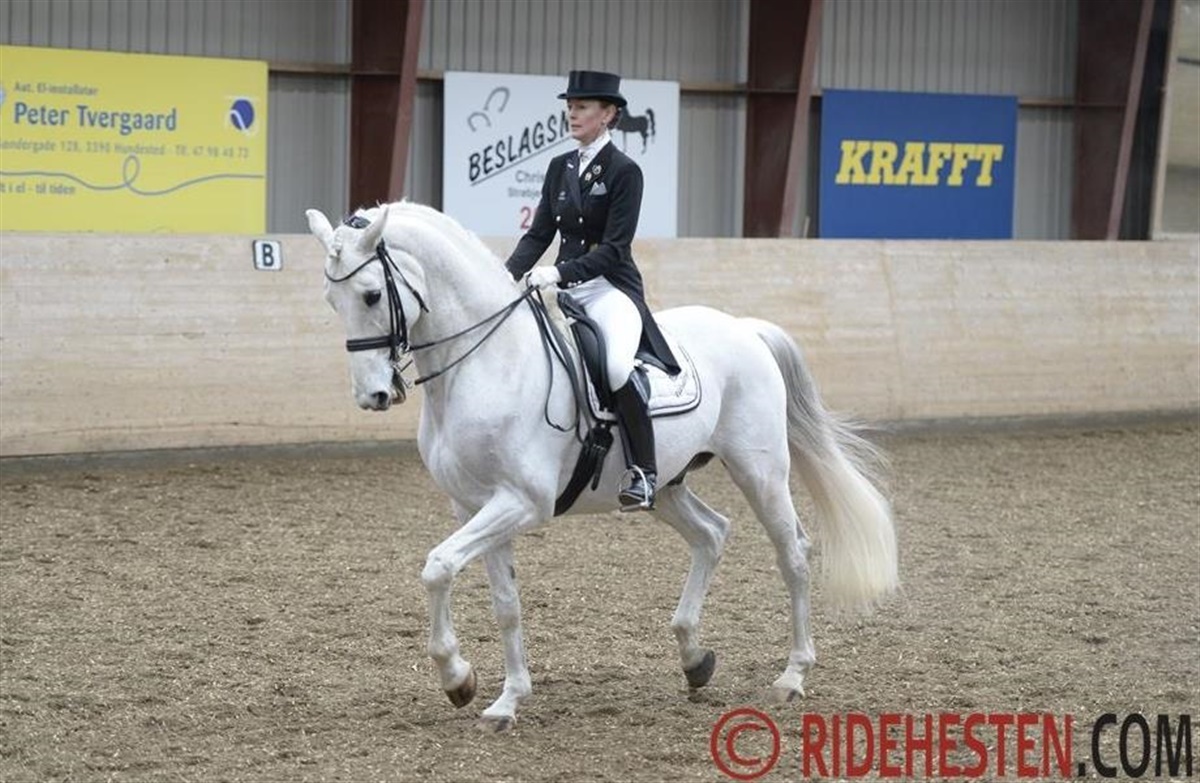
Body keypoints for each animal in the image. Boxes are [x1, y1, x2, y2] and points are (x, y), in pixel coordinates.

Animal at [306, 201, 898, 732]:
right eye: (331, 300)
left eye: (372, 294)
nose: (373, 396)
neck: (485, 364)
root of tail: (743, 328)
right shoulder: (473, 505)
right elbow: (504, 602)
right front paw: (501, 699)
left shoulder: (522, 503)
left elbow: (438, 567)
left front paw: (457, 678)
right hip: (668, 486)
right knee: (712, 533)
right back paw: (694, 659)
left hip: (761, 472)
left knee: (792, 553)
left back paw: (792, 676)